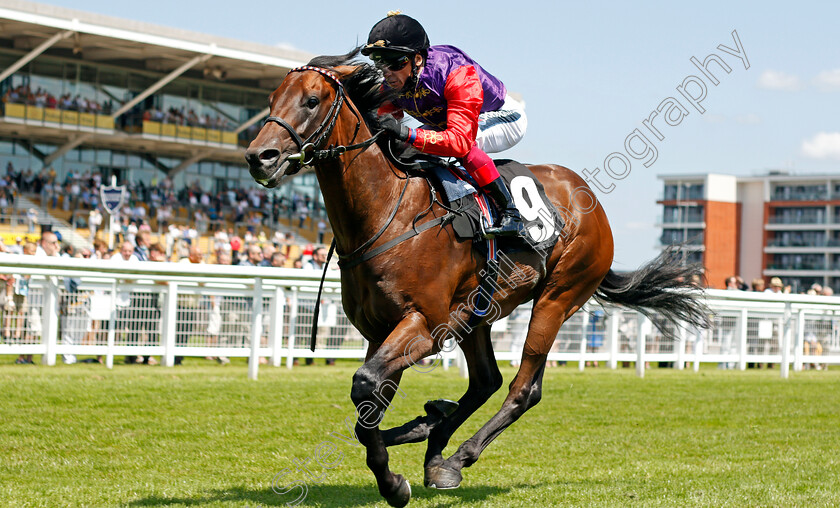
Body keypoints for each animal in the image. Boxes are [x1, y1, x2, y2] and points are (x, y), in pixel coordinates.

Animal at [246, 49, 704, 506]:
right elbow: (368, 403)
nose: (259, 156)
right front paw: (403, 454)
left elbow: (365, 385)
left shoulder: (424, 325)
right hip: (476, 312)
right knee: (486, 380)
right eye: (270, 99)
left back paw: (454, 456)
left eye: (311, 101)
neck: (388, 213)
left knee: (522, 389)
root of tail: (590, 200)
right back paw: (431, 436)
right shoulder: (381, 332)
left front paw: (394, 483)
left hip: (557, 297)